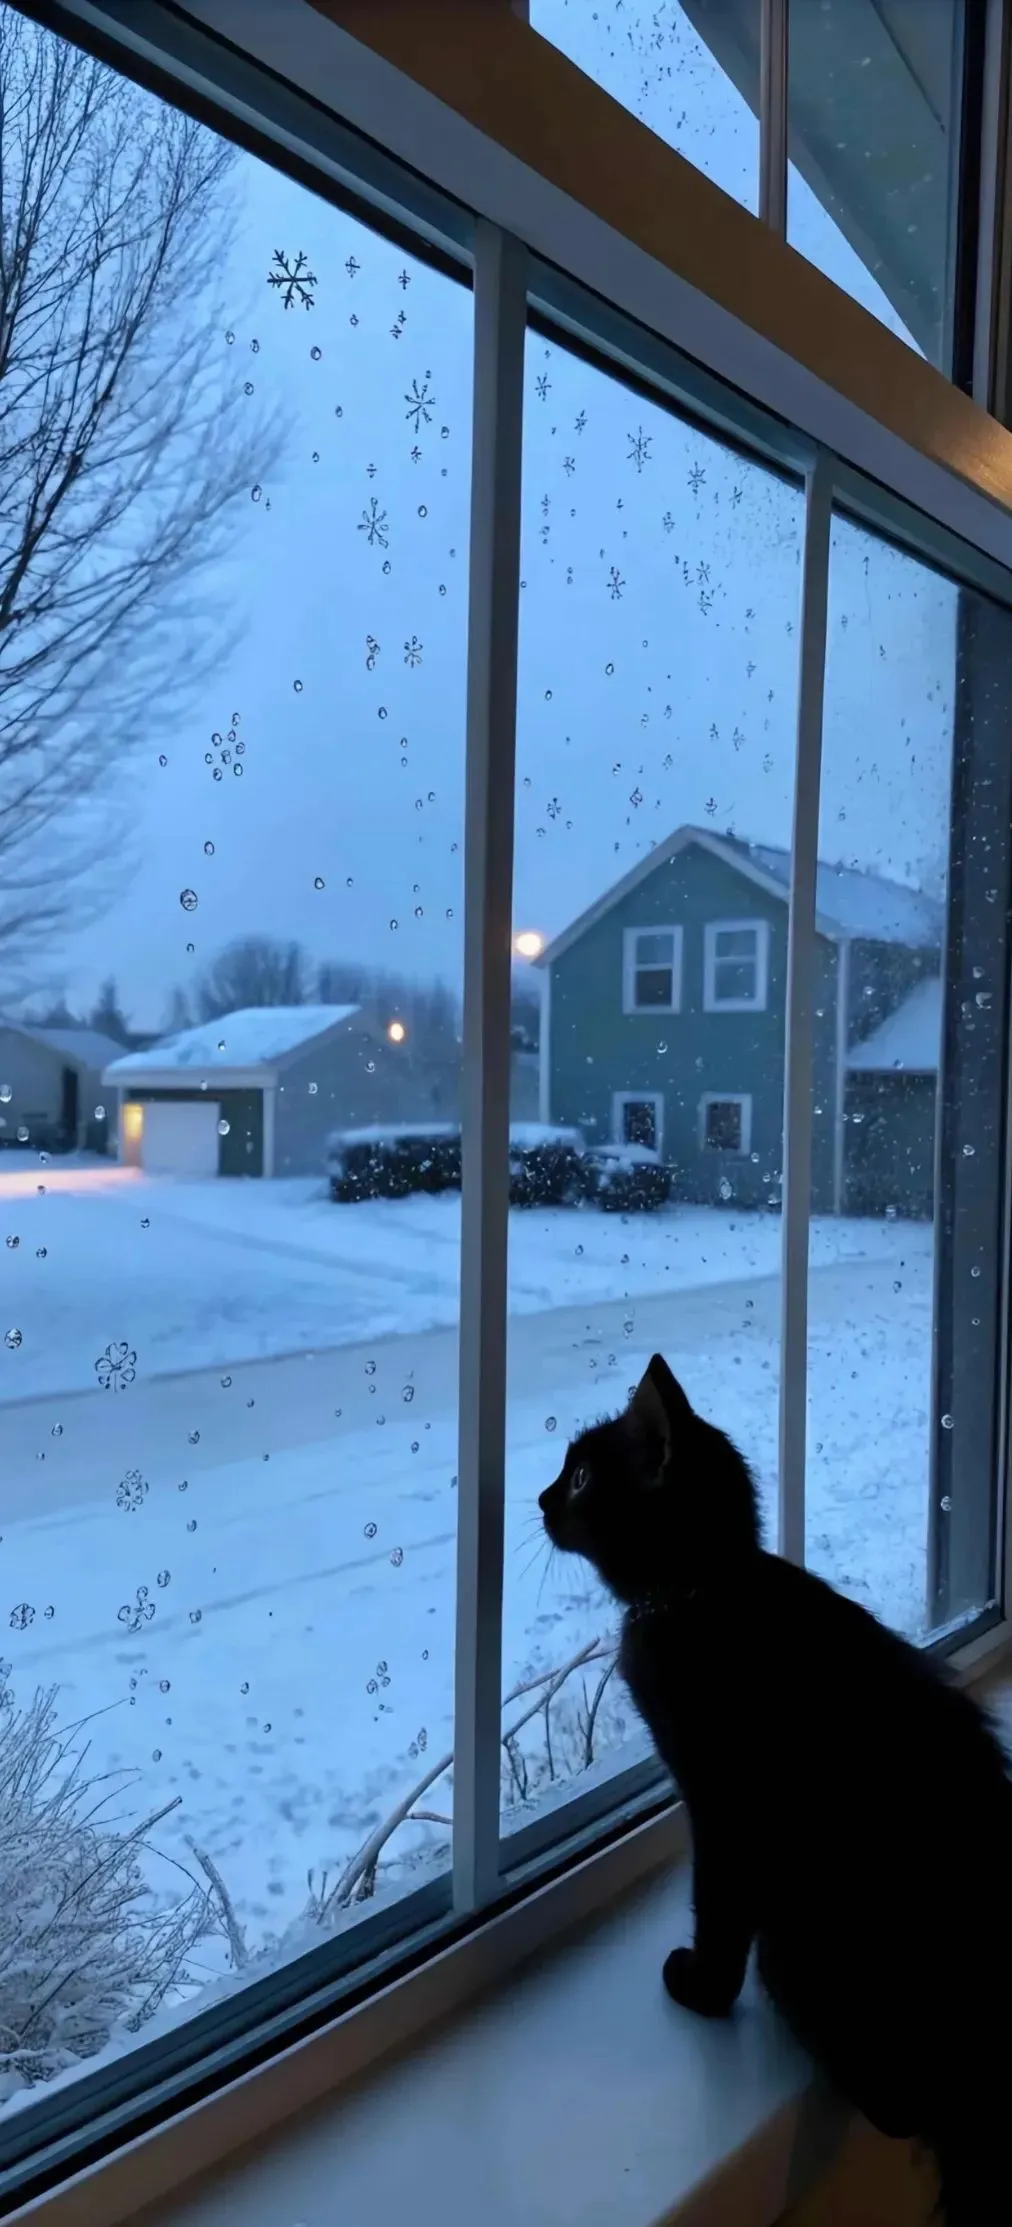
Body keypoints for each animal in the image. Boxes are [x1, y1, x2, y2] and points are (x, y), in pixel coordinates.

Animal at [539, 1353, 1012, 2227]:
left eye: (583, 1475)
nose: (542, 1496)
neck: (704, 1586)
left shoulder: (723, 1803)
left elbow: (718, 1903)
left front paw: (700, 1984)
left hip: (806, 1940)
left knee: (898, 2106)